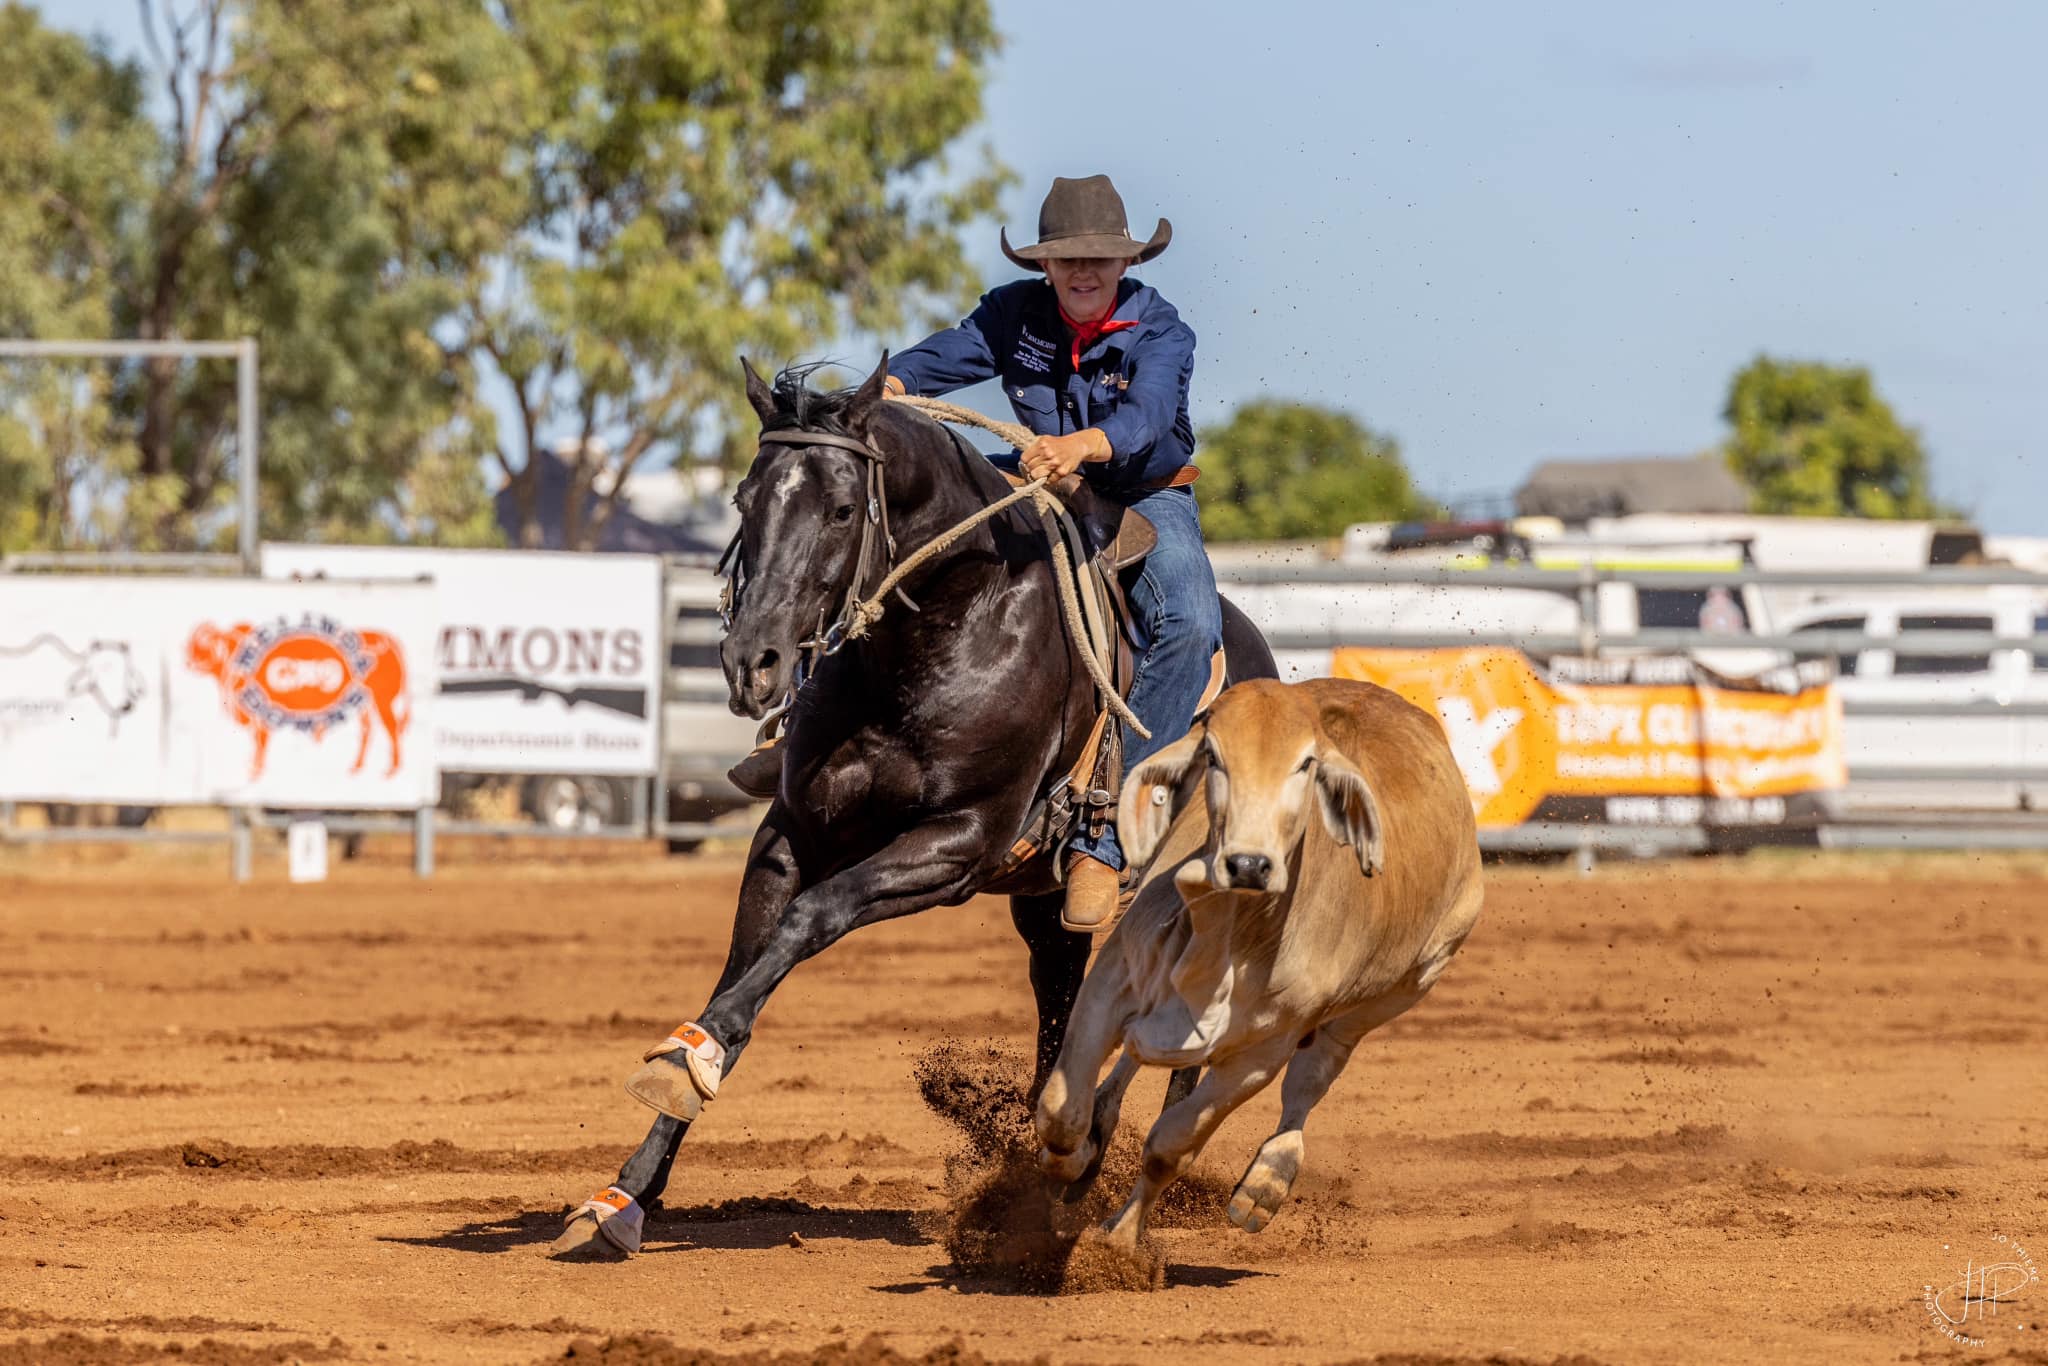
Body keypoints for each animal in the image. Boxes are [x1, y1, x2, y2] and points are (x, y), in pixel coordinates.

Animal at [553, 353, 1277, 1257]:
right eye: (744, 500)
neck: (946, 628)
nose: (752, 660)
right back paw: (1055, 1158)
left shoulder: (956, 845)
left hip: (1210, 893)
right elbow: (742, 973)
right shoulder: (788, 835)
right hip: (1045, 904)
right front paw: (634, 1174)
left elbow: (813, 917)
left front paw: (686, 1066)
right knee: (1060, 1002)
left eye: (839, 508)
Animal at [1034, 676, 1483, 1253]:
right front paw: (1070, 1161)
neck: (1232, 933)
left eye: (1306, 764)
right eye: (1213, 755)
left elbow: (1170, 1148)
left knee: (1313, 1078)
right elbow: (1061, 1111)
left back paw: (1268, 1180)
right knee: (1129, 1065)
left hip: (1403, 987)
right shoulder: (1110, 985)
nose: (1248, 863)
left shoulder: (1259, 1055)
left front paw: (1118, 1241)